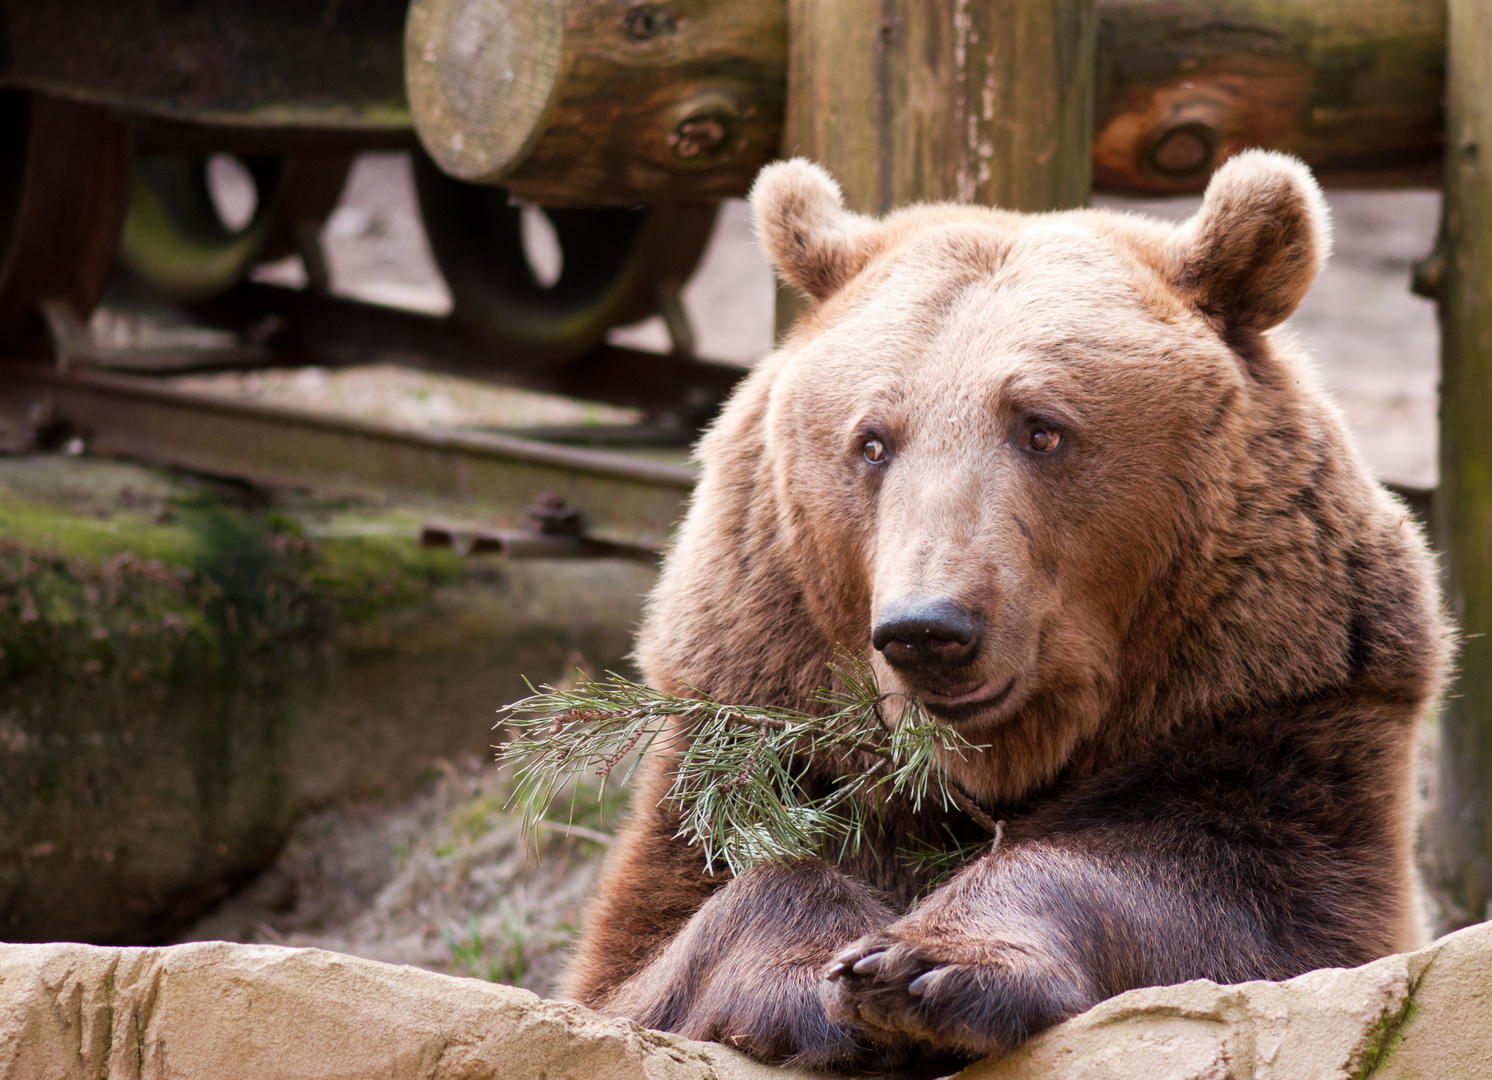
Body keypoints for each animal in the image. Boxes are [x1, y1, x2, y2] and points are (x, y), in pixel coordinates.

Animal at [558, 153, 1444, 1074]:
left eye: (1041, 427)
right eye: (872, 441)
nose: (929, 628)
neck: (999, 763)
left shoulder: (1279, 721)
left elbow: (1231, 897)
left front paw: (921, 966)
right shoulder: (757, 745)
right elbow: (663, 943)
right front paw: (822, 976)